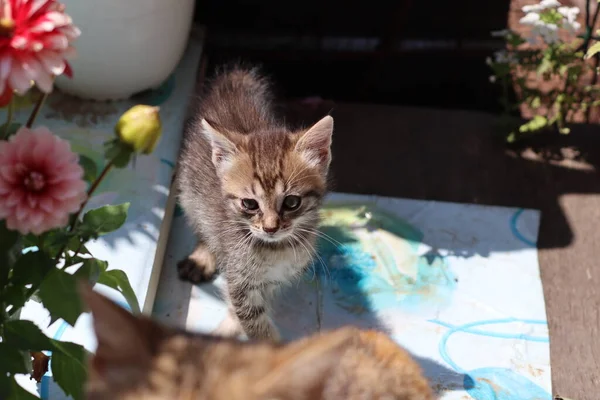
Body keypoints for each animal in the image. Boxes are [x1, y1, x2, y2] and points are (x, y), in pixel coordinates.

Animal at [176, 66, 336, 340]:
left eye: (292, 202)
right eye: (250, 204)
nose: (271, 228)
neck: (277, 249)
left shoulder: (271, 282)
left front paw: (230, 327)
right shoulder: (240, 280)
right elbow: (254, 323)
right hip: (189, 191)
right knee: (202, 225)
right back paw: (202, 256)